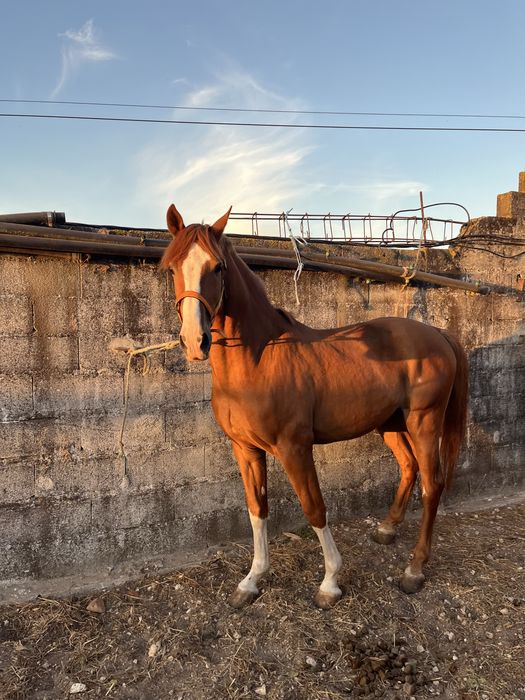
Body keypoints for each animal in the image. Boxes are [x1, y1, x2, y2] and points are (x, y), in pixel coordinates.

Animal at [160, 205, 468, 609]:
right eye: (172, 267)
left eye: (218, 267)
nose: (195, 341)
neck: (258, 360)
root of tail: (439, 334)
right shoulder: (245, 449)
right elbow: (257, 509)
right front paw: (251, 580)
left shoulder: (295, 448)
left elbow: (314, 508)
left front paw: (330, 582)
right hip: (390, 424)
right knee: (408, 467)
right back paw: (386, 530)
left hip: (424, 423)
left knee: (432, 485)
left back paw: (414, 570)